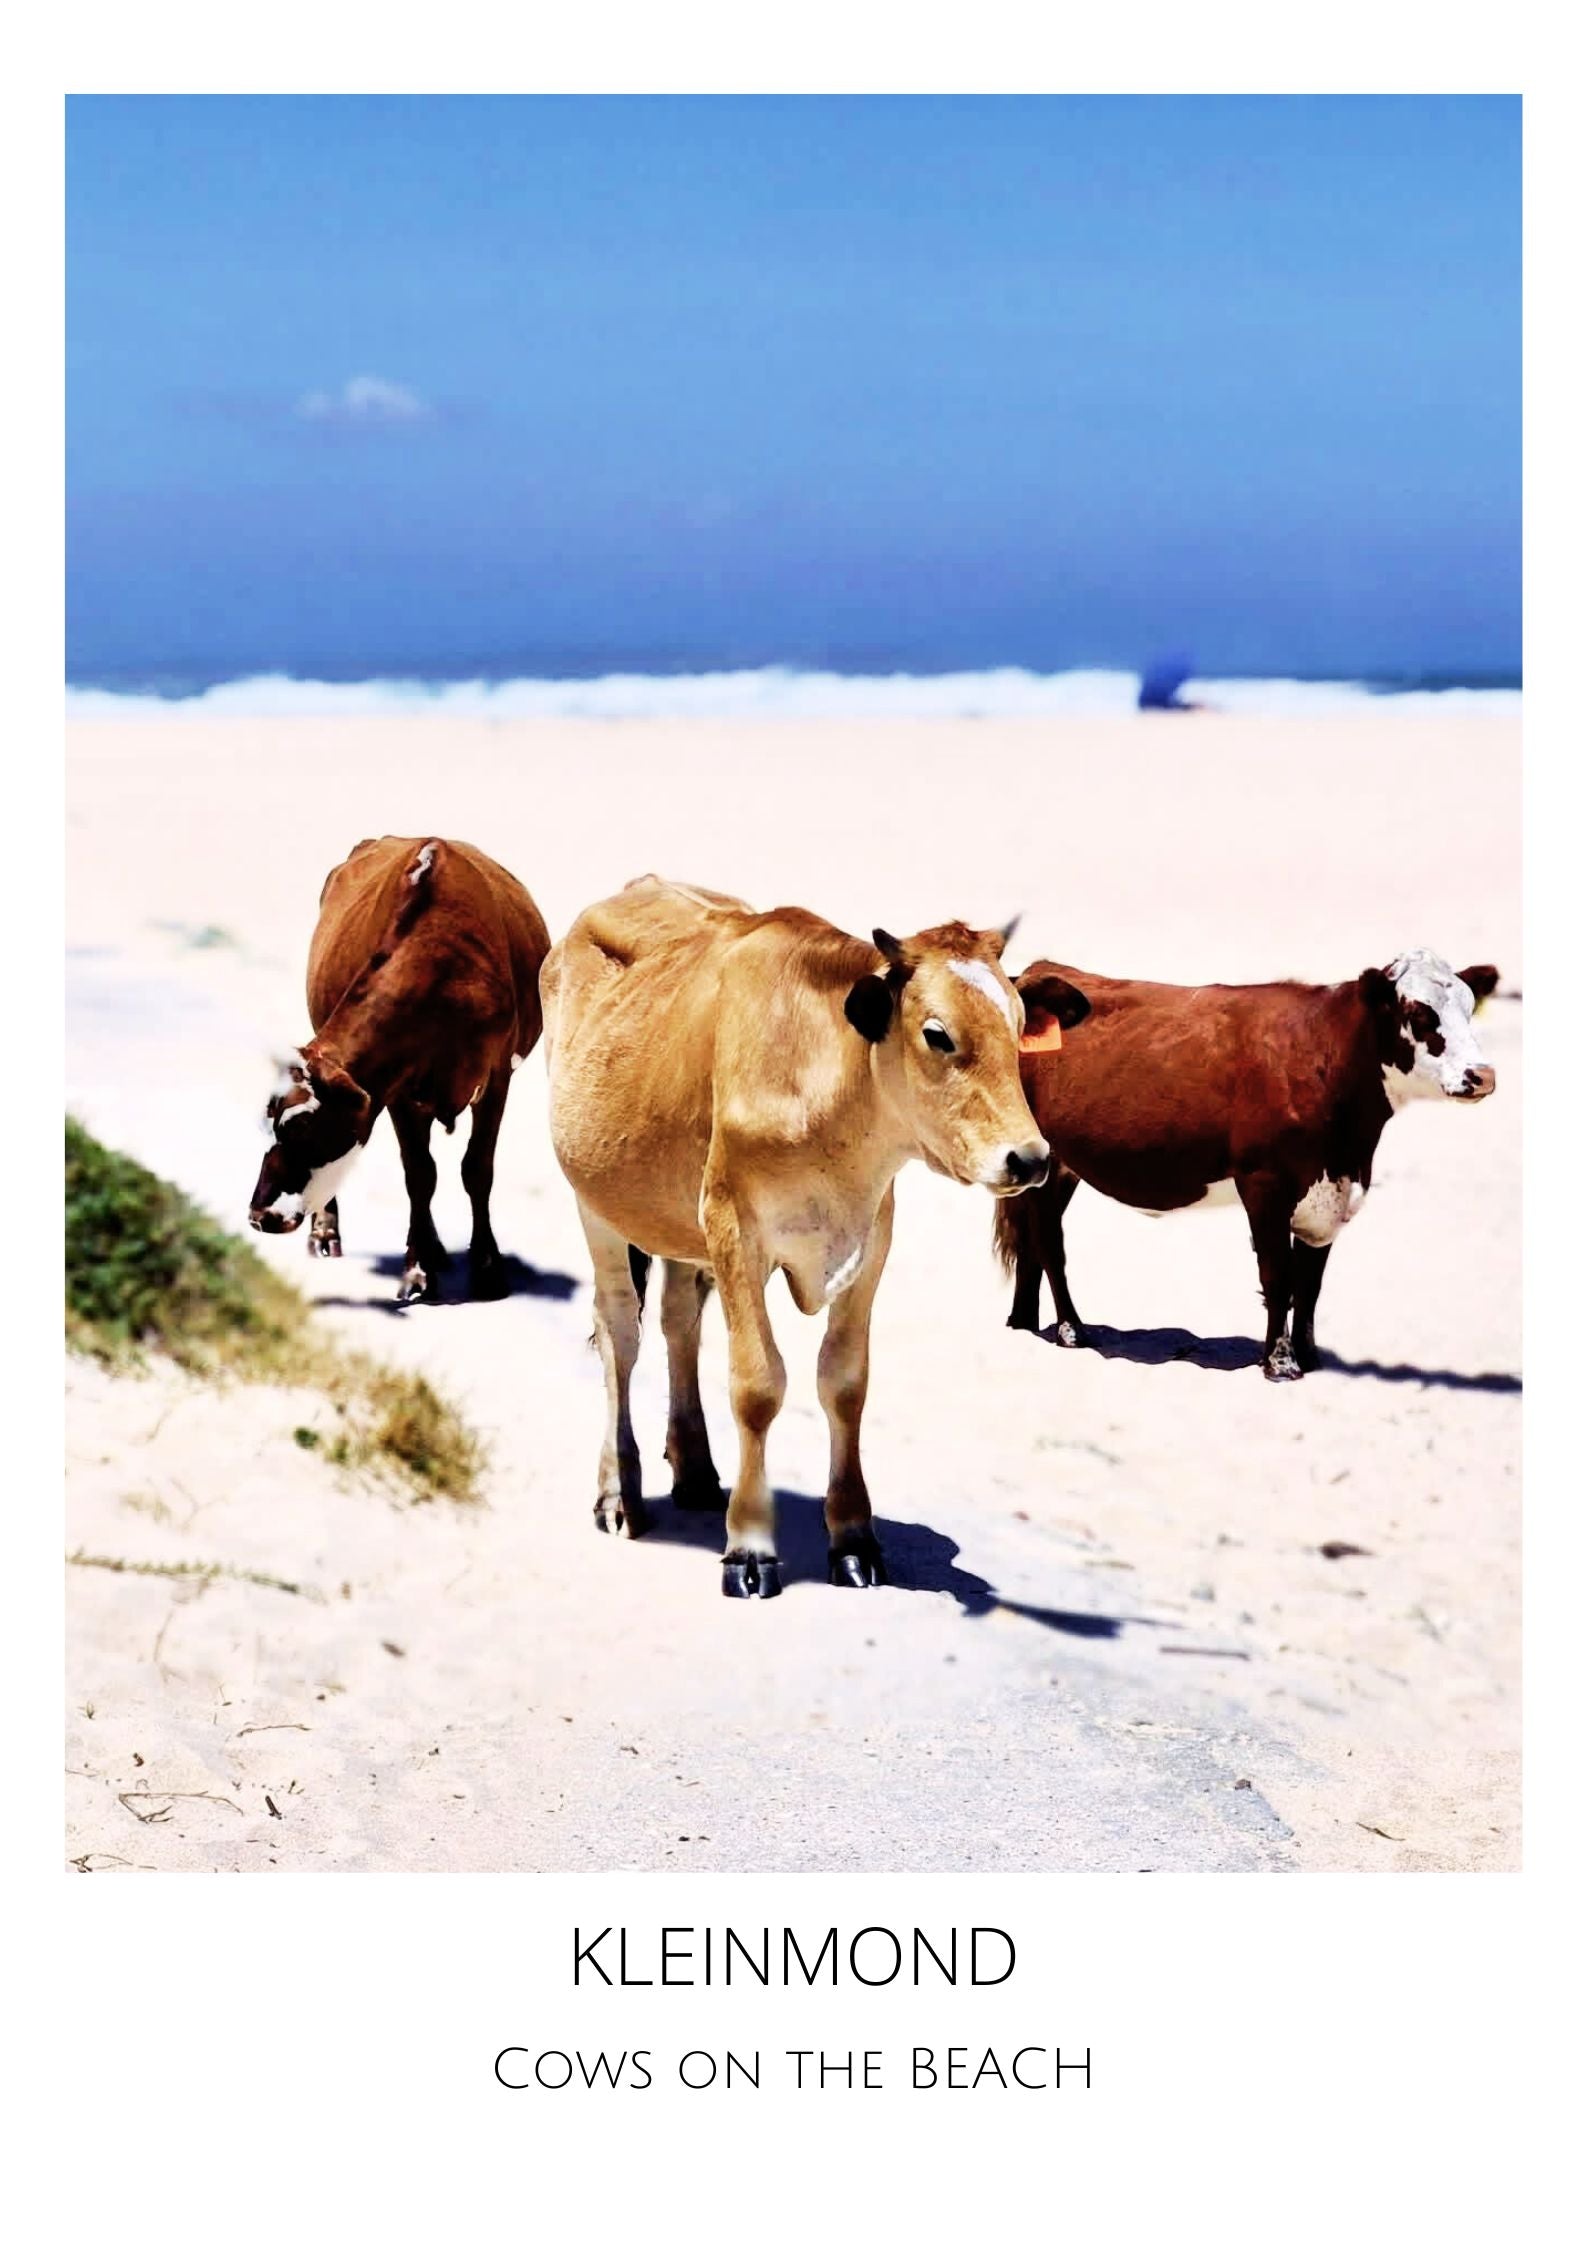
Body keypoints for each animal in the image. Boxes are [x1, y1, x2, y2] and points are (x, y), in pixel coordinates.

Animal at [248, 836, 550, 1303]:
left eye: (302, 1128)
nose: (259, 1216)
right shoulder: (398, 1093)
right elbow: (420, 1175)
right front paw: (418, 1269)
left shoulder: (497, 1076)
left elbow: (477, 1169)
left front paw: (487, 1268)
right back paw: (330, 1232)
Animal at [541, 874, 1087, 1598]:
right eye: (937, 1034)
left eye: (1021, 1025)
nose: (1028, 1158)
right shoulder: (734, 1230)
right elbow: (756, 1385)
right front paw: (749, 1548)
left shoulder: (871, 1239)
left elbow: (845, 1383)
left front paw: (853, 1538)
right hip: (595, 1204)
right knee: (619, 1336)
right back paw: (618, 1493)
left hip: (678, 1221)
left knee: (679, 1320)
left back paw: (694, 1469)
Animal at [994, 949, 1500, 1381]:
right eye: (1420, 1014)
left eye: (1469, 1008)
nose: (1482, 1076)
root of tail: (1032, 975)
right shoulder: (1264, 1183)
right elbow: (1278, 1277)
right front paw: (1279, 1363)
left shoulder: (1328, 1194)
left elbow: (1310, 1284)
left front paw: (1309, 1357)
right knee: (1049, 1244)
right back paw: (1071, 1330)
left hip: (1057, 1168)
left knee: (1032, 1246)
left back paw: (1023, 1322)